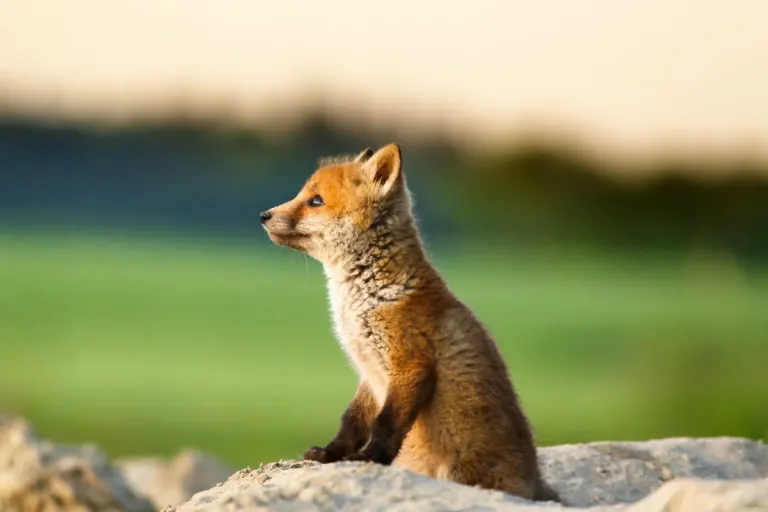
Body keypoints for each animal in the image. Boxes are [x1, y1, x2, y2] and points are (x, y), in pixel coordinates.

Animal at [259, 143, 559, 502]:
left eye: (315, 201)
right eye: (303, 195)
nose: (263, 216)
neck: (368, 298)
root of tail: (535, 485)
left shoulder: (410, 365)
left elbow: (386, 424)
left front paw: (370, 458)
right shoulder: (368, 373)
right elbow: (351, 421)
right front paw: (331, 455)